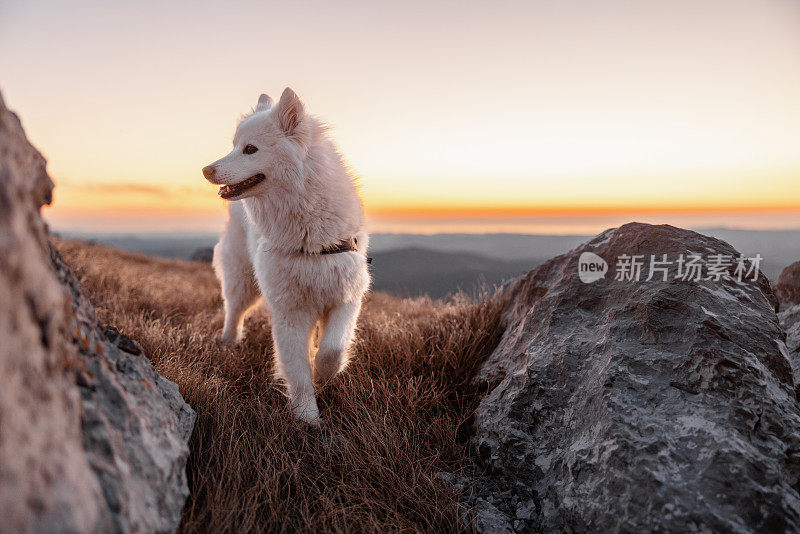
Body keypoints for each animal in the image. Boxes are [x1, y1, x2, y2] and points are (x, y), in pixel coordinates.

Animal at [203, 88, 372, 426]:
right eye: (234, 146)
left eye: (250, 149)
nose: (206, 170)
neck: (311, 236)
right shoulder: (289, 312)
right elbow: (297, 370)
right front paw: (308, 419)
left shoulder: (346, 297)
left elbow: (332, 349)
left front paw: (324, 373)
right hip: (242, 279)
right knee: (234, 310)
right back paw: (228, 342)